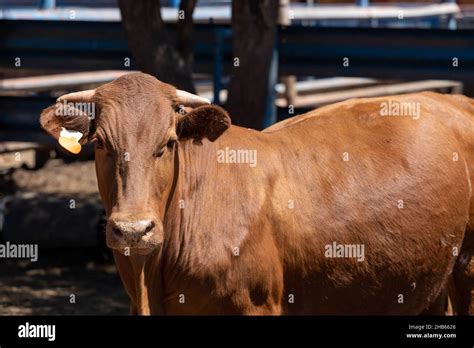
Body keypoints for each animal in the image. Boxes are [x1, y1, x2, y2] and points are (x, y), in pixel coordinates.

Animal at [39, 72, 474, 316]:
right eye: (100, 144)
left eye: (168, 143)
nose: (133, 230)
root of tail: (451, 98)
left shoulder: (258, 304)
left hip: (466, 267)